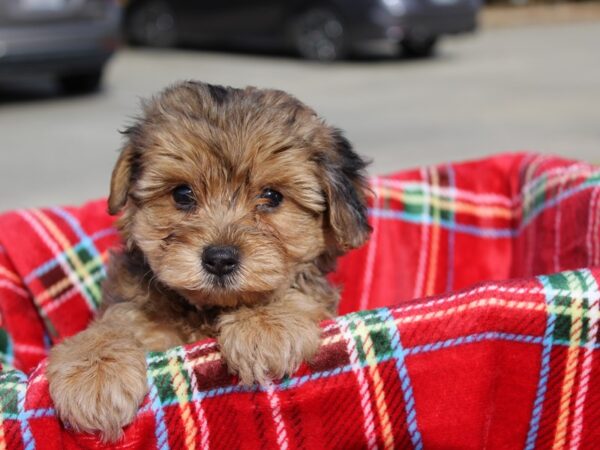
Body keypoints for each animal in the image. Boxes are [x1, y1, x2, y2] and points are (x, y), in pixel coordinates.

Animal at [45, 81, 370, 440]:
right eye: (182, 194)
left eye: (272, 196)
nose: (219, 259)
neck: (207, 309)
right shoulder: (133, 308)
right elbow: (113, 324)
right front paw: (95, 374)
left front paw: (266, 326)